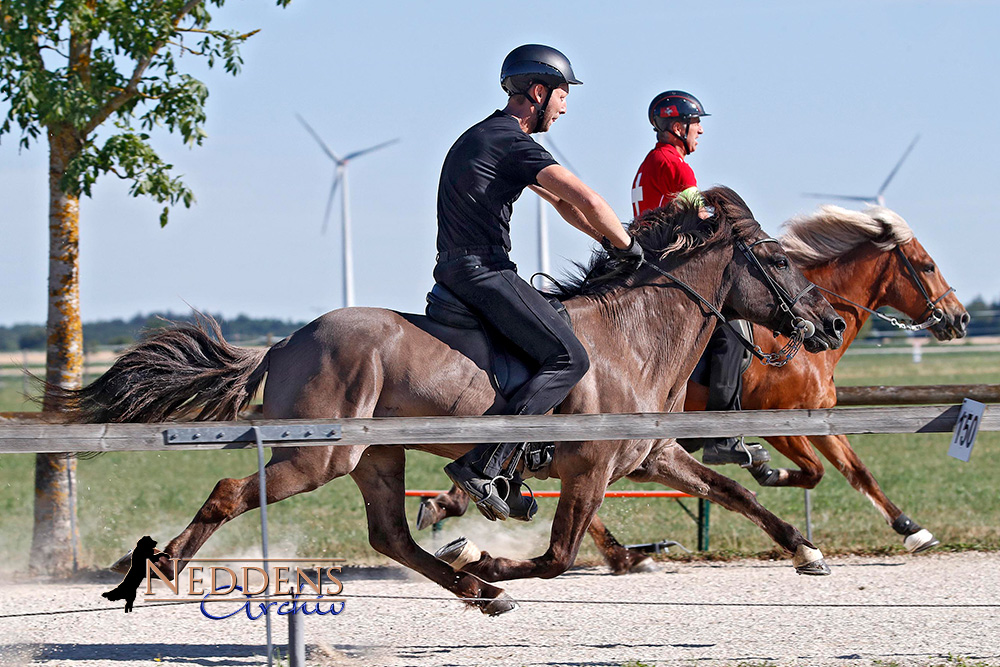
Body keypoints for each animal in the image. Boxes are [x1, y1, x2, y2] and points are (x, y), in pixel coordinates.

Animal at [416, 204, 968, 576]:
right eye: (926, 266)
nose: (959, 318)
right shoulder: (783, 422)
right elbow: (816, 473)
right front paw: (768, 471)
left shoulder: (813, 420)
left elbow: (849, 474)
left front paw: (903, 530)